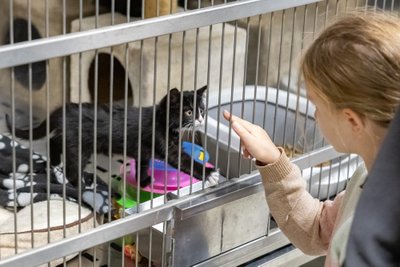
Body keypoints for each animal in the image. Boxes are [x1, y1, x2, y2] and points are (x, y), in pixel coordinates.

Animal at [6, 86, 219, 188]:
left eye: (201, 110)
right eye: (189, 112)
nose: (201, 119)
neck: (163, 121)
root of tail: (64, 110)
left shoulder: (144, 152)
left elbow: (143, 164)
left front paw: (143, 181)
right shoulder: (164, 144)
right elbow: (183, 160)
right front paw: (209, 173)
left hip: (68, 137)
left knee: (54, 140)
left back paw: (55, 162)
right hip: (79, 144)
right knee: (72, 168)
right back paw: (80, 186)